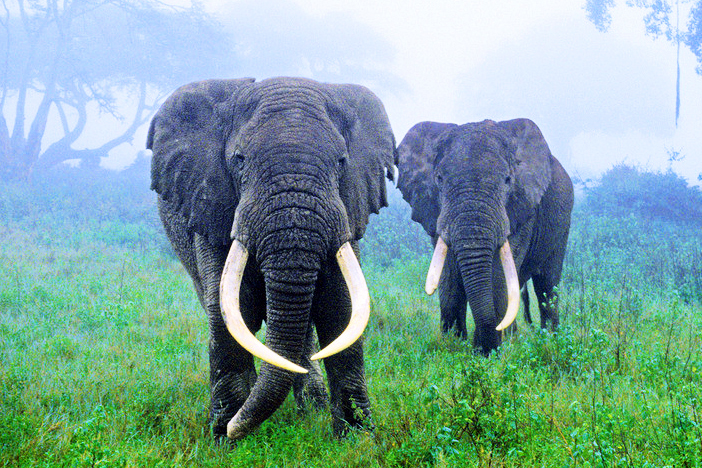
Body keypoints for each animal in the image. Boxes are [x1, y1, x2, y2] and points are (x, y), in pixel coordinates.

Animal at [146, 77, 398, 438]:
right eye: (239, 159)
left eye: (341, 161)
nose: (233, 428)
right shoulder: (212, 208)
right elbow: (229, 310)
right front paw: (225, 437)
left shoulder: (349, 211)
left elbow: (342, 309)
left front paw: (358, 438)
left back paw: (311, 408)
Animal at [398, 119, 576, 352]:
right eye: (439, 179)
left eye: (508, 180)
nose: (483, 348)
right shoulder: (436, 211)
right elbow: (449, 276)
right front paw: (453, 347)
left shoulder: (521, 208)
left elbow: (498, 275)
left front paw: (486, 354)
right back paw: (514, 340)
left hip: (561, 224)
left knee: (546, 285)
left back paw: (550, 342)